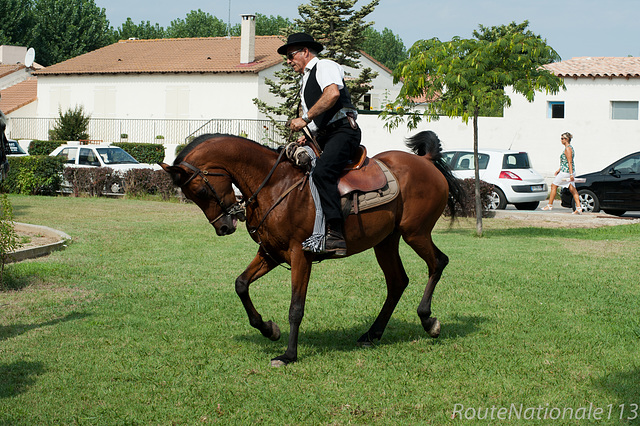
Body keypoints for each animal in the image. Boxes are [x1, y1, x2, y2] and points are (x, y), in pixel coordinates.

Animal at [160, 131, 464, 366]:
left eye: (200, 191)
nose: (224, 227)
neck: (275, 184)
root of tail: (424, 162)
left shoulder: (300, 254)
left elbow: (296, 307)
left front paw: (289, 355)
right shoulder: (270, 253)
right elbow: (241, 284)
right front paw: (268, 329)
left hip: (416, 233)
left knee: (438, 262)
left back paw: (428, 321)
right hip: (386, 242)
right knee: (398, 282)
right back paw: (372, 334)